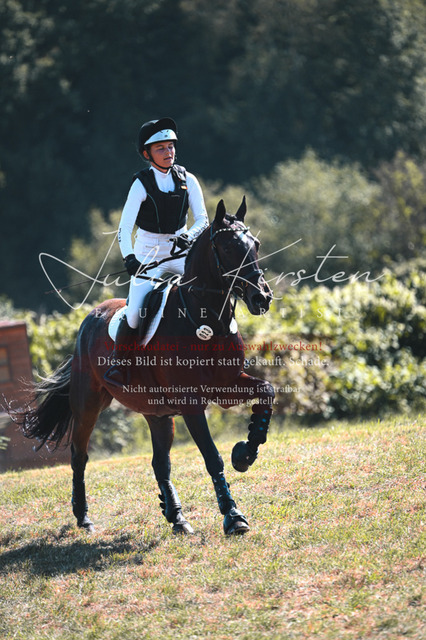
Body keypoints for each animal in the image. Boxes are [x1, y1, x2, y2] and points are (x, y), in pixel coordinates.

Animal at [13, 198, 275, 535]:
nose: (262, 297)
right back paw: (84, 517)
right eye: (229, 248)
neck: (205, 319)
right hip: (88, 406)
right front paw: (233, 515)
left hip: (157, 413)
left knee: (160, 462)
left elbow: (267, 391)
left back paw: (176, 516)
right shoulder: (191, 403)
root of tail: (89, 319)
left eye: (256, 245)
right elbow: (211, 456)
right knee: (79, 456)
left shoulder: (227, 387)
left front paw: (245, 452)